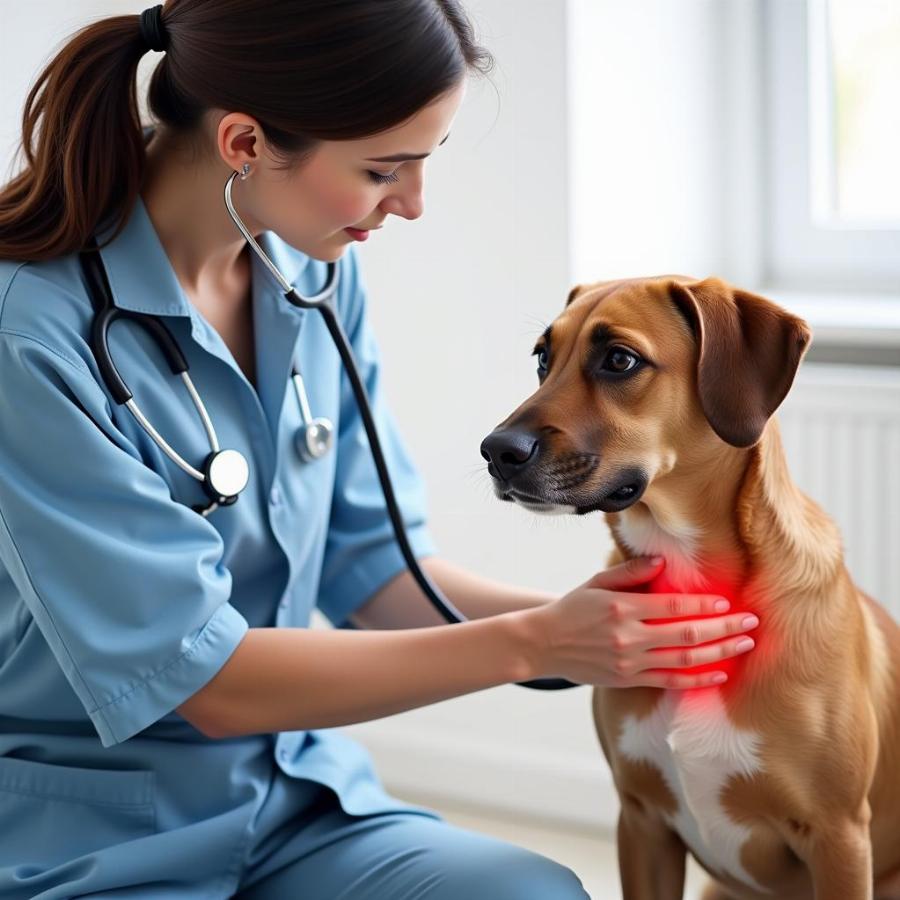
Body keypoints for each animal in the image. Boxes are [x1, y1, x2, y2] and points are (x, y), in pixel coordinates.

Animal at [482, 278, 900, 896]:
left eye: (619, 360)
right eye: (542, 359)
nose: (496, 452)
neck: (689, 567)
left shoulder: (839, 840)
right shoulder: (641, 823)